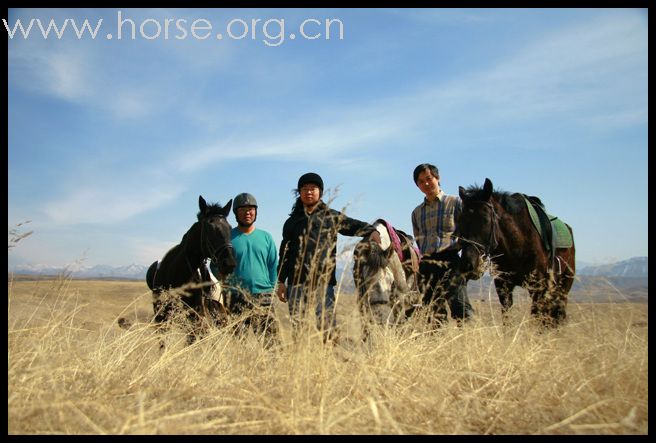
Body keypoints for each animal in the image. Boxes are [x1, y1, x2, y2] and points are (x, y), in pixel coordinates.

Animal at [145, 196, 236, 338]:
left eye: (229, 228)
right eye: (209, 227)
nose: (229, 263)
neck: (176, 273)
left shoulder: (196, 319)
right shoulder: (161, 319)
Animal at [456, 179, 576, 328]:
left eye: (485, 219)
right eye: (460, 220)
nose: (468, 264)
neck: (517, 245)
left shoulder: (537, 287)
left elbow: (537, 318)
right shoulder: (503, 286)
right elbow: (507, 321)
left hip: (564, 286)